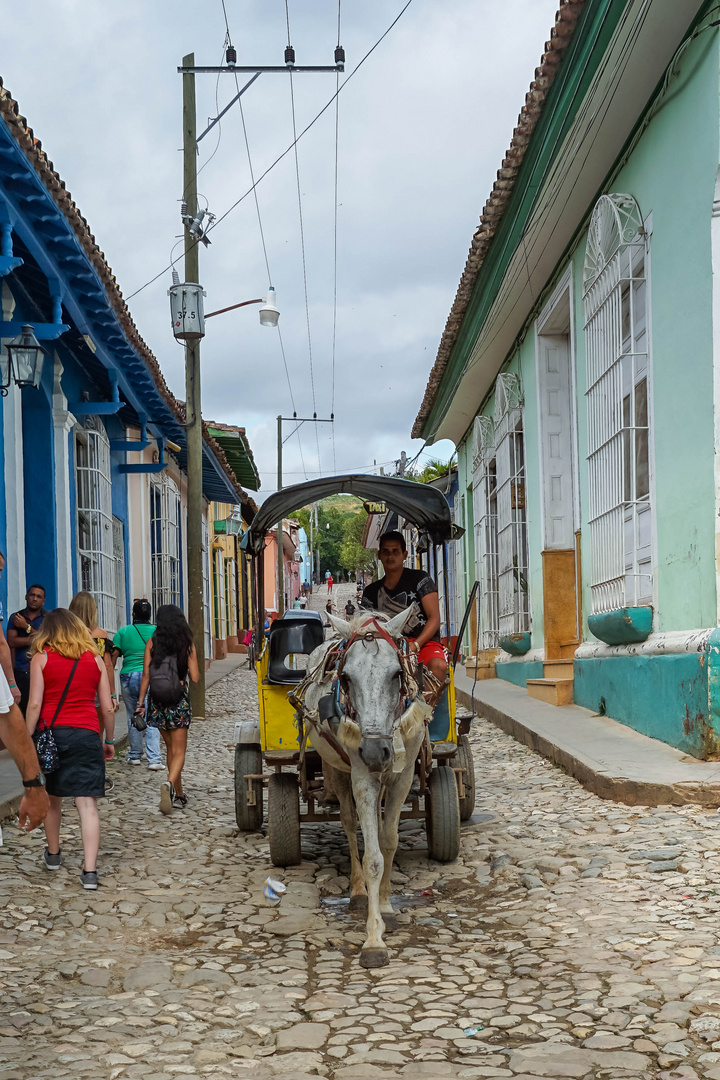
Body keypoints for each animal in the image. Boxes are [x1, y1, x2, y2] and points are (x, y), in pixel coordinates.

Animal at [302, 609, 431, 972]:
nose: (375, 752)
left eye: (397, 674)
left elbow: (389, 842)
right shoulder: (361, 775)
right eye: (345, 678)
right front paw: (374, 940)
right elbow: (372, 856)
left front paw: (386, 907)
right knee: (348, 821)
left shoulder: (403, 775)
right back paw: (359, 891)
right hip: (338, 768)